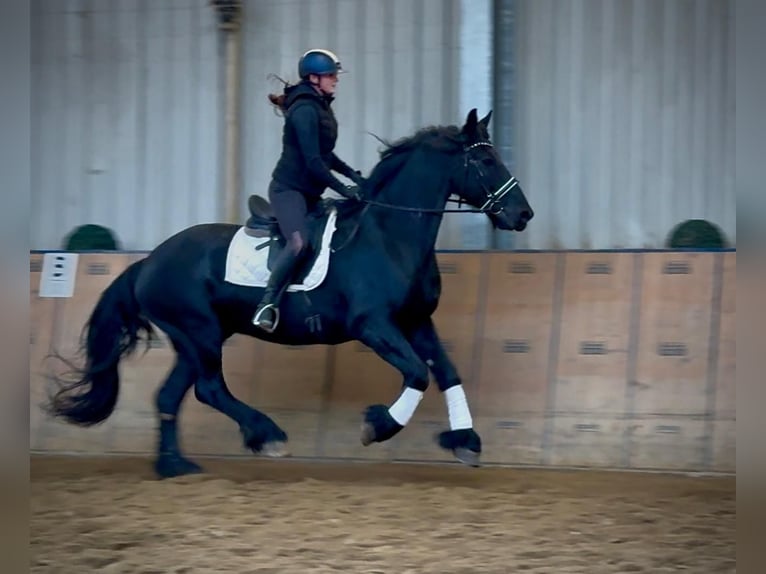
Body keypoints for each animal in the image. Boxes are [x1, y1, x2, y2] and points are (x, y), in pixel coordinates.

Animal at [46, 108, 534, 479]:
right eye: (486, 162)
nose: (523, 214)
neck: (390, 235)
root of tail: (148, 262)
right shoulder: (373, 325)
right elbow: (416, 373)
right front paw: (378, 426)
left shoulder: (416, 322)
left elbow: (447, 373)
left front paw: (466, 441)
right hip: (199, 332)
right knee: (209, 389)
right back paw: (267, 436)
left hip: (196, 338)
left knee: (171, 396)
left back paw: (175, 466)